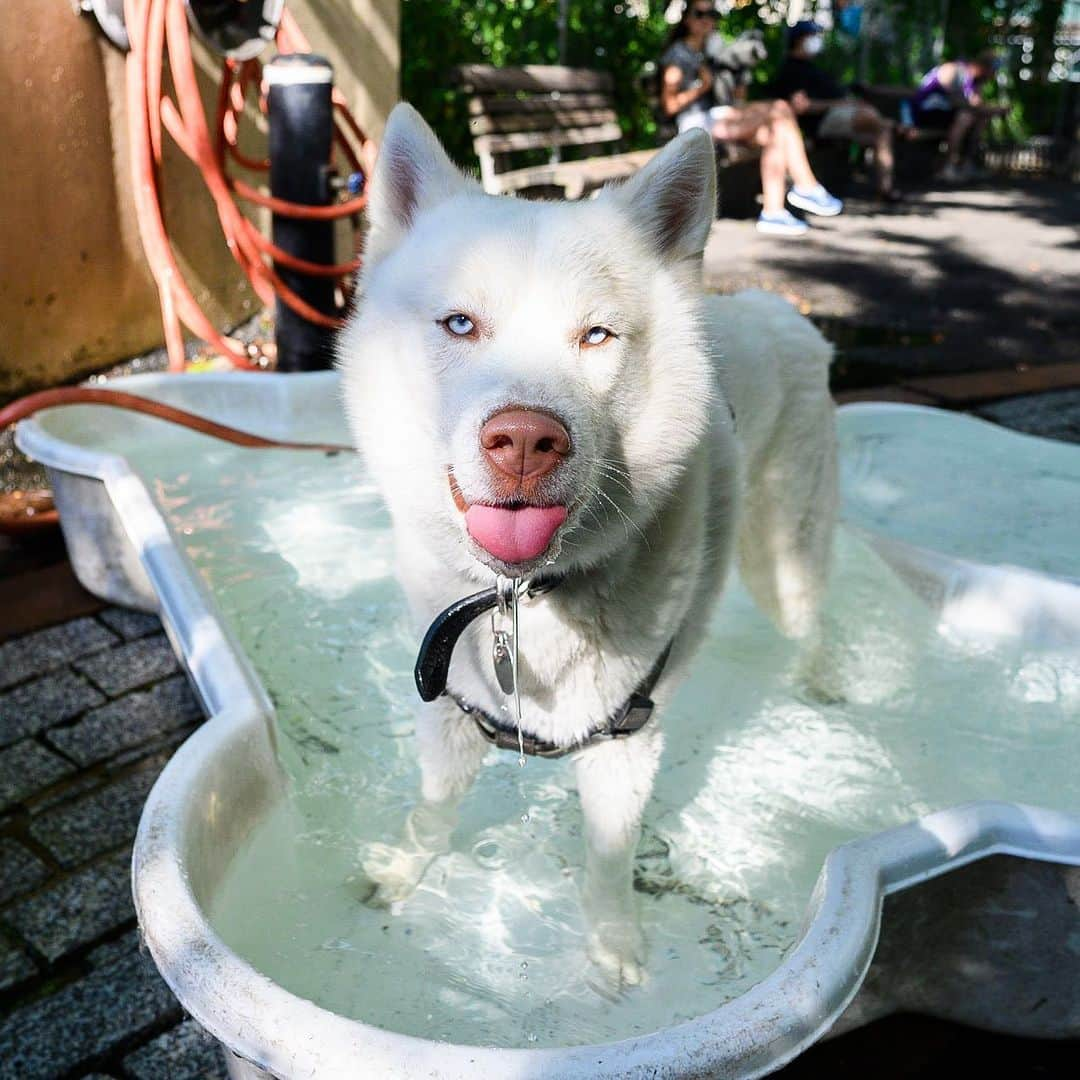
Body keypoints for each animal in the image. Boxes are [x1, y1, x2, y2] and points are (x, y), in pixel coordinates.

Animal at [336, 105, 833, 989]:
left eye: (597, 336)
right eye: (460, 323)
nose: (525, 442)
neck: (523, 598)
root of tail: (782, 311)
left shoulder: (624, 742)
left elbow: (607, 857)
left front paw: (612, 946)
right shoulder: (451, 711)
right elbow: (432, 810)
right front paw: (402, 870)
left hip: (782, 560)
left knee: (819, 611)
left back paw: (825, 684)